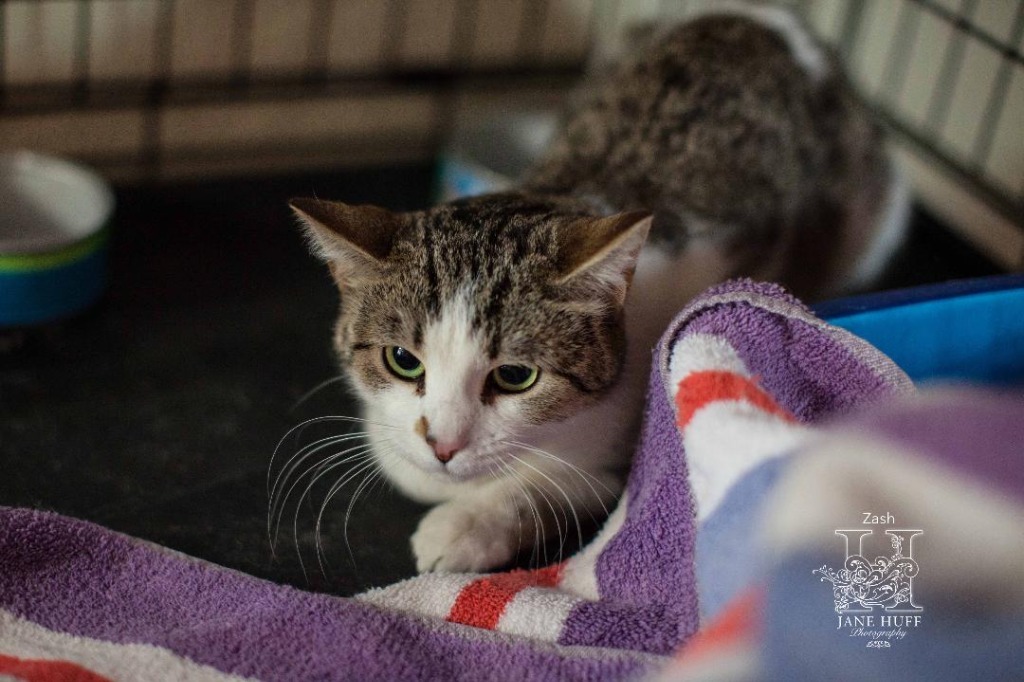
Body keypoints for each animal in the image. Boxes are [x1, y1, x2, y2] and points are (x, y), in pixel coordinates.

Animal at [286, 2, 905, 569]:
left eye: (515, 376)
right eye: (402, 360)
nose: (444, 444)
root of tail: (772, 19)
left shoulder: (621, 443)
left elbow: (549, 487)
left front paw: (468, 523)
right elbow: (402, 459)